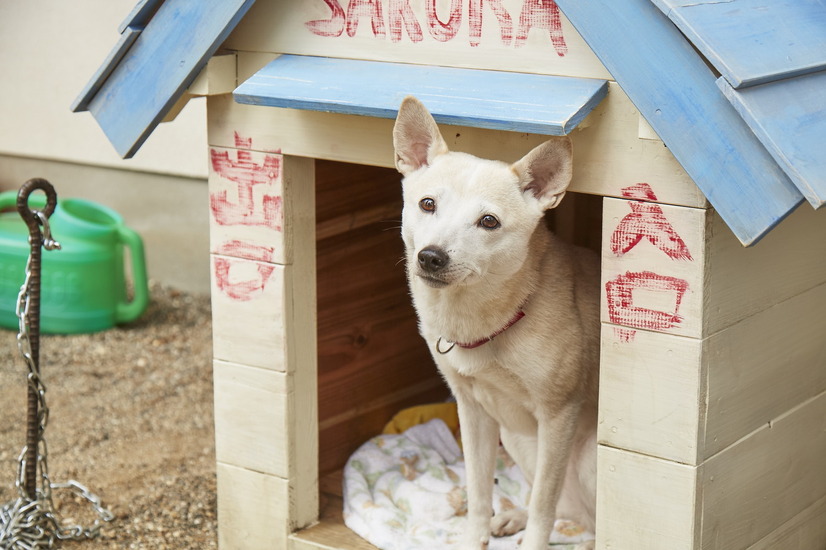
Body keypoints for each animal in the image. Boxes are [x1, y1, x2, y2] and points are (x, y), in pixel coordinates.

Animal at [392, 97, 600, 548]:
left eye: (488, 221)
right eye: (428, 204)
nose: (430, 257)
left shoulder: (558, 416)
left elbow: (543, 506)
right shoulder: (472, 412)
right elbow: (478, 492)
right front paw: (478, 535)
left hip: (589, 457)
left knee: (588, 519)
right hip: (517, 439)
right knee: (569, 511)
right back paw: (513, 517)